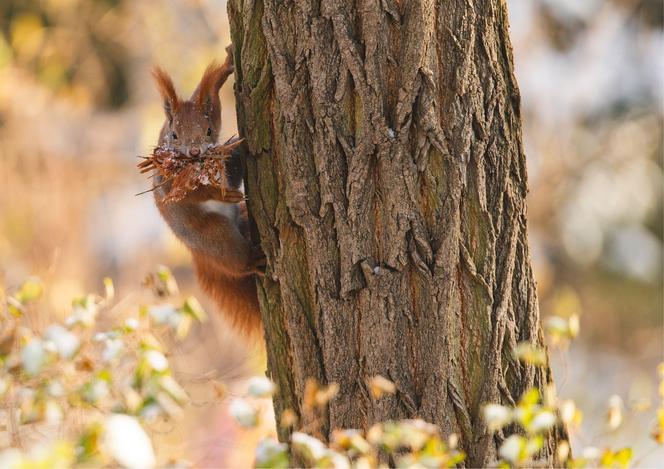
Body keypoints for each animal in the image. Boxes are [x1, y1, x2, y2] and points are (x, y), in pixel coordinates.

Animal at [152, 49, 264, 330]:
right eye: (174, 135)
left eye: (209, 130)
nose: (195, 151)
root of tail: (197, 253)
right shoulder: (167, 180)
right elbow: (192, 194)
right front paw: (217, 193)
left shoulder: (214, 113)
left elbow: (210, 96)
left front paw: (226, 66)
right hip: (213, 235)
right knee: (233, 259)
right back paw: (251, 260)